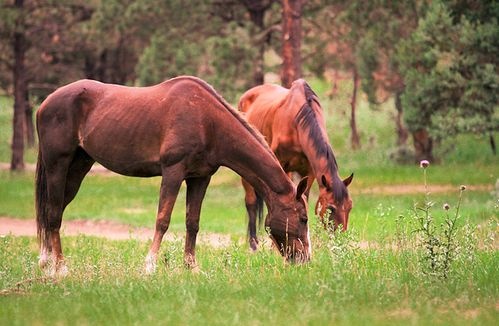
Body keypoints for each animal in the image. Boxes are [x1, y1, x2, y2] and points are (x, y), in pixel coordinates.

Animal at [35, 76, 310, 276]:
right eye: (304, 219)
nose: (305, 260)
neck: (207, 121)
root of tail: (45, 103)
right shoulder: (173, 172)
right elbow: (163, 220)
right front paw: (150, 266)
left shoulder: (200, 178)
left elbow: (192, 222)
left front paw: (191, 267)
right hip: (58, 165)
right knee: (53, 214)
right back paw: (60, 268)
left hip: (78, 167)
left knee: (53, 212)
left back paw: (45, 262)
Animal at [239, 79, 354, 250]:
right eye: (331, 208)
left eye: (350, 206)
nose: (341, 239)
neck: (296, 123)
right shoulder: (280, 166)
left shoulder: (309, 172)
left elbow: (303, 198)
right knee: (251, 202)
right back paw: (253, 244)